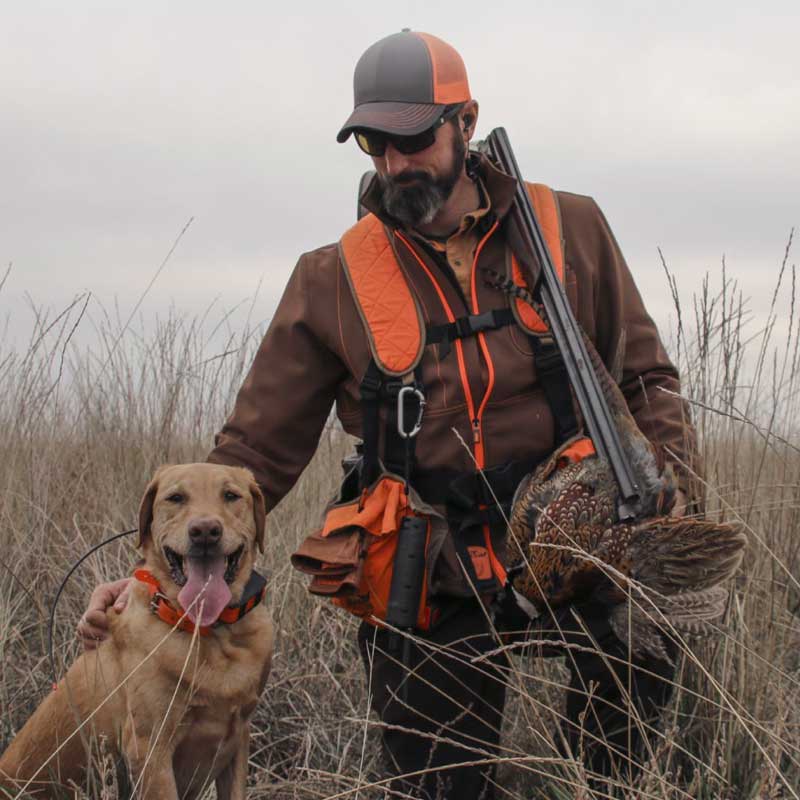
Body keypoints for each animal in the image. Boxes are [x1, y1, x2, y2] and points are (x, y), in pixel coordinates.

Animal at [0, 462, 274, 800]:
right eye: (175, 498)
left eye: (231, 495)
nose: (205, 531)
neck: (210, 632)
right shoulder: (150, 750)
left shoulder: (237, 740)